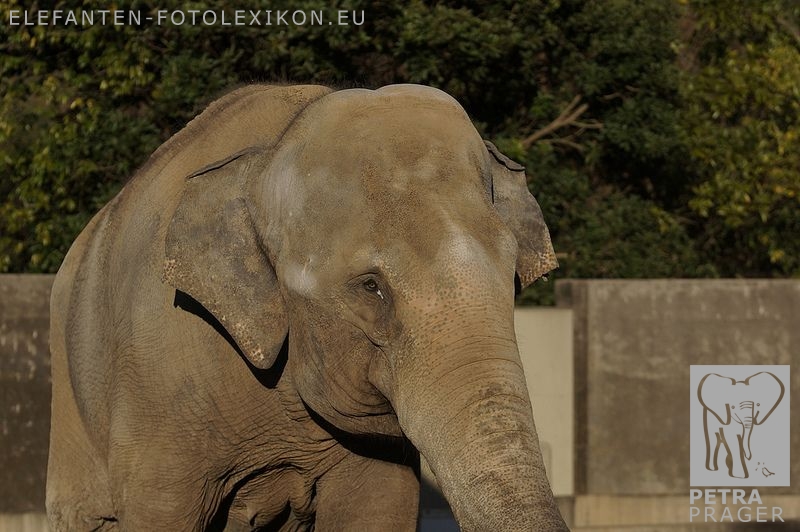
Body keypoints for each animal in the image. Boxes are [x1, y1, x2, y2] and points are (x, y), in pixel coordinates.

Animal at [46, 83, 568, 531]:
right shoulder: (158, 377)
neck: (274, 147)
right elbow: (162, 512)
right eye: (371, 287)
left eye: (511, 273)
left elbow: (380, 507)